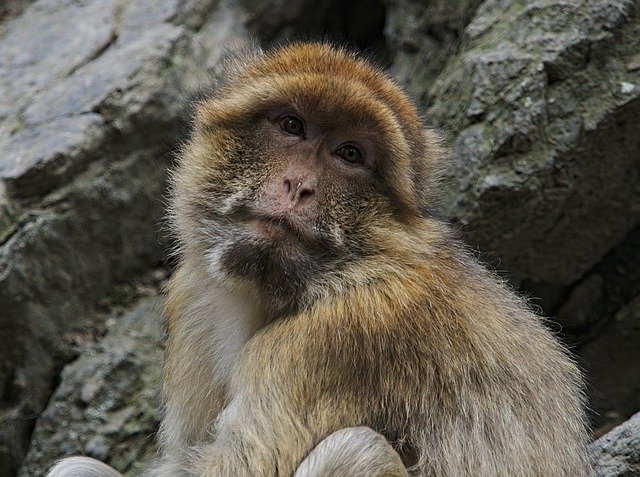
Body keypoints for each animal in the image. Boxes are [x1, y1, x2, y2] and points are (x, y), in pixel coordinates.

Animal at [48, 42, 592, 474]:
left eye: (349, 154)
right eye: (292, 125)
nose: (299, 186)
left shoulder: (331, 343)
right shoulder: (194, 298)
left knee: (357, 449)